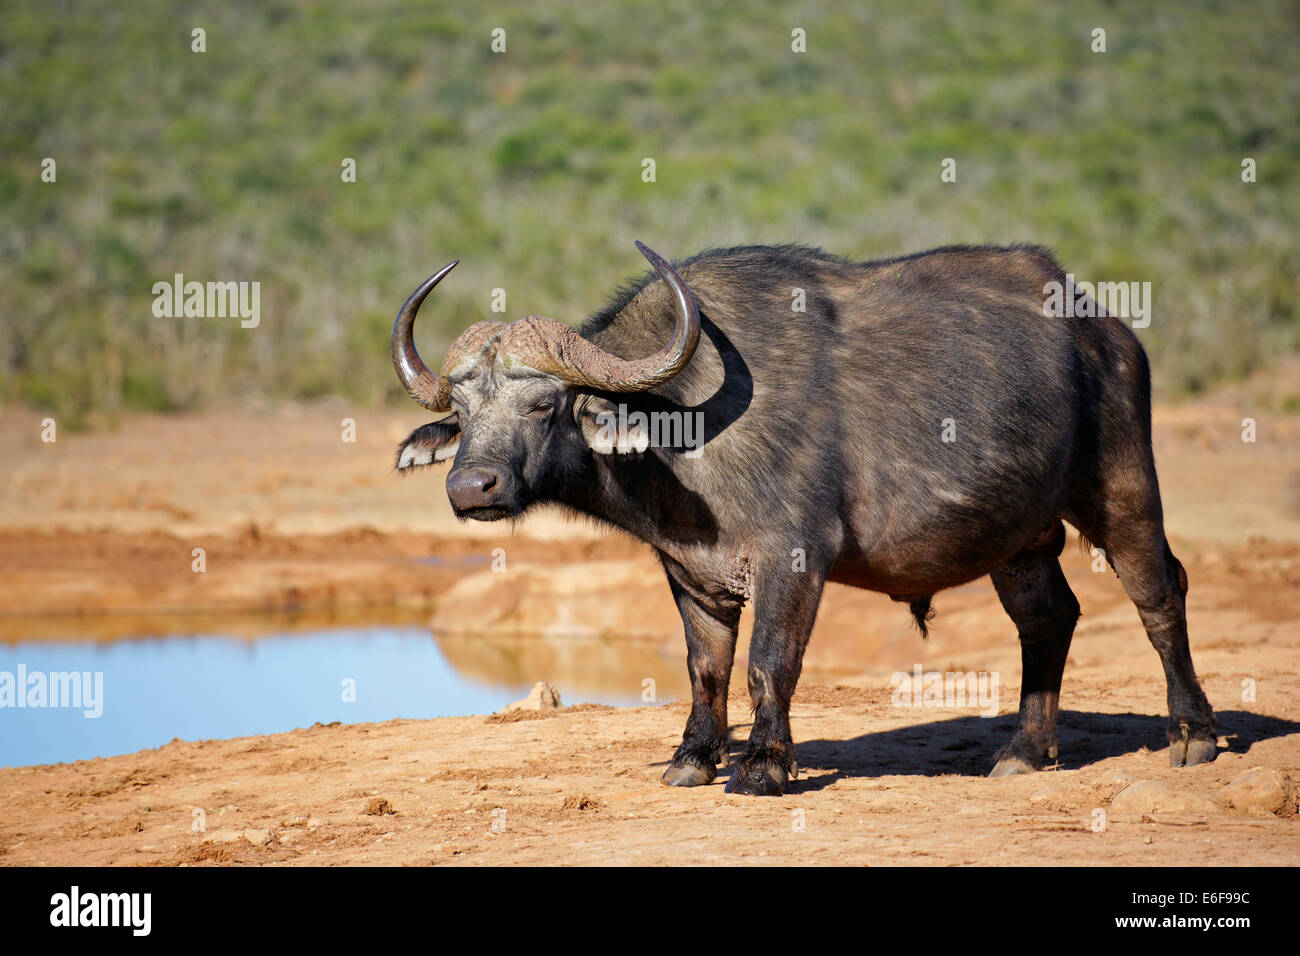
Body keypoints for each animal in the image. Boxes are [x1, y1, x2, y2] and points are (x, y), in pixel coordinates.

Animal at [390, 243, 1211, 796]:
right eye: (461, 410)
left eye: (542, 404)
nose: (470, 486)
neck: (682, 430)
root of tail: (1106, 330)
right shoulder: (691, 573)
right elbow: (705, 669)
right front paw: (692, 760)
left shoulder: (793, 559)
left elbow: (768, 663)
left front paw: (761, 766)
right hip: (1019, 540)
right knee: (1048, 619)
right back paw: (1023, 752)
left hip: (1122, 490)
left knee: (1159, 594)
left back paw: (1194, 735)